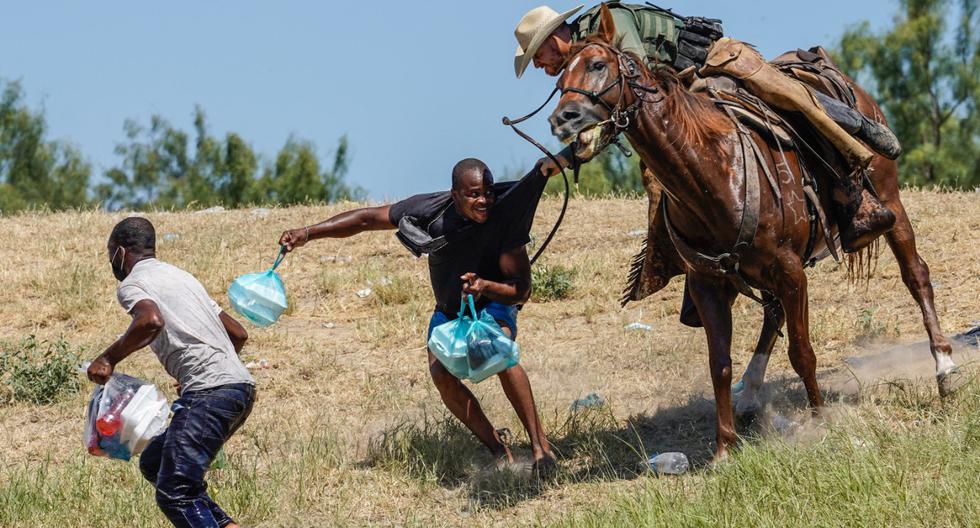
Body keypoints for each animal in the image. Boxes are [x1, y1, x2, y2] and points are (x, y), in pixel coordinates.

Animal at [552, 4, 956, 460]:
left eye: (598, 65)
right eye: (559, 78)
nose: (562, 118)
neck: (712, 170)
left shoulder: (790, 271)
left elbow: (802, 352)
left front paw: (819, 421)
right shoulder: (709, 283)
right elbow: (720, 364)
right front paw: (724, 448)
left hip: (890, 202)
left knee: (916, 275)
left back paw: (944, 366)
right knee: (772, 314)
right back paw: (750, 394)